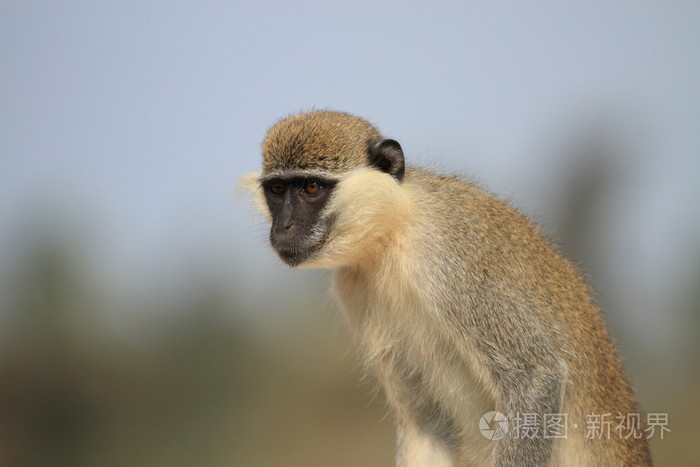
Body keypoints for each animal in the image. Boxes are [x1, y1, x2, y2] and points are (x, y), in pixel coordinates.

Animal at [239, 110, 652, 467]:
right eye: (277, 189)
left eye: (311, 187)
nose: (283, 227)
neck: (393, 233)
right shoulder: (355, 290)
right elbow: (426, 425)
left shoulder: (450, 253)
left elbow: (535, 375)